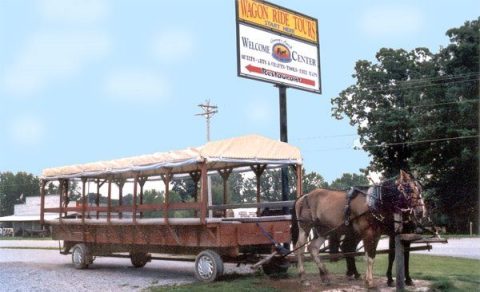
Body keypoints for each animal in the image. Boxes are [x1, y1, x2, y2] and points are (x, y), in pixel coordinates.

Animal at [290, 170, 426, 286]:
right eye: (410, 189)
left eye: (420, 189)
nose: (421, 211)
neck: (374, 202)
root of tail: (304, 196)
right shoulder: (368, 233)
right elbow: (368, 257)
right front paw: (369, 281)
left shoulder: (376, 234)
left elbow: (372, 256)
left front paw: (368, 279)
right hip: (305, 227)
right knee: (299, 248)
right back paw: (303, 278)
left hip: (323, 230)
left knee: (313, 248)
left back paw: (325, 276)